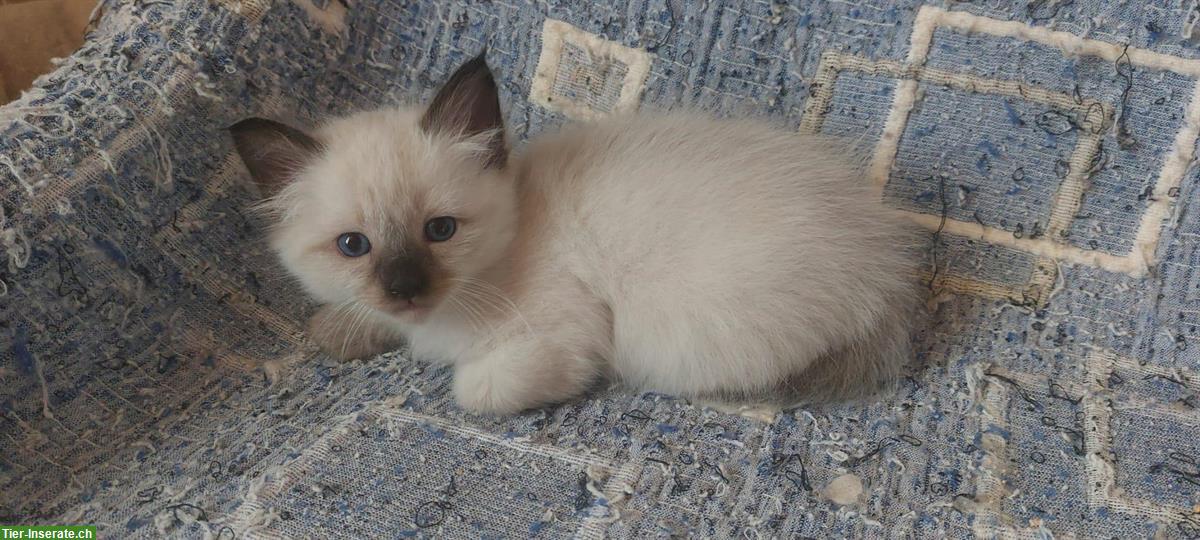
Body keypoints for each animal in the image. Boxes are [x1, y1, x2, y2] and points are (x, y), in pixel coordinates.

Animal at [236, 52, 926, 412]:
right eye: (353, 246)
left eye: (440, 230)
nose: (405, 288)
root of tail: (884, 263)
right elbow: (350, 322)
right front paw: (336, 330)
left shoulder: (567, 335)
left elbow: (472, 390)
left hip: (678, 336)